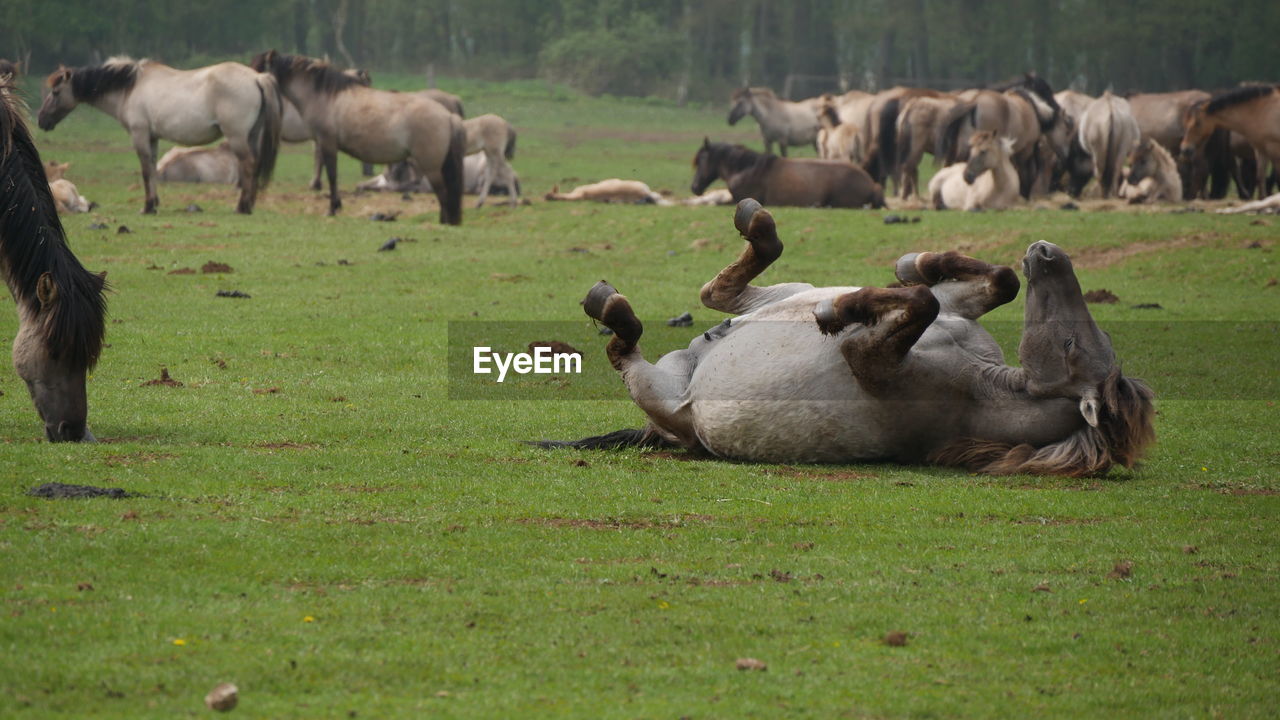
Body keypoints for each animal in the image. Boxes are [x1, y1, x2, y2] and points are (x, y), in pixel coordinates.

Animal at [36, 56, 280, 212]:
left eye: (56, 92)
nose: (41, 120)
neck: (131, 89)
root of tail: (256, 78)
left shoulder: (140, 135)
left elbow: (146, 171)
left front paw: (148, 207)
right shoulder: (152, 138)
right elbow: (153, 170)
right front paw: (155, 203)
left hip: (237, 137)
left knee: (248, 165)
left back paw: (243, 207)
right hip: (250, 137)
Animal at [252, 49, 468, 222]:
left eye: (259, 68)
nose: (253, 91)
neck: (327, 96)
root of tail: (448, 116)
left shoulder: (327, 143)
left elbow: (332, 175)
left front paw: (332, 208)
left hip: (431, 167)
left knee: (444, 196)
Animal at [545, 198, 1157, 474]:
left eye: (1073, 349)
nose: (1047, 252)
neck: (978, 383)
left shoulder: (869, 357)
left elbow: (918, 303)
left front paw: (840, 310)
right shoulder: (957, 313)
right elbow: (987, 283)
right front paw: (916, 263)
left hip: (666, 396)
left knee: (626, 346)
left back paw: (614, 307)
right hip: (777, 292)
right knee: (722, 292)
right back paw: (755, 225)